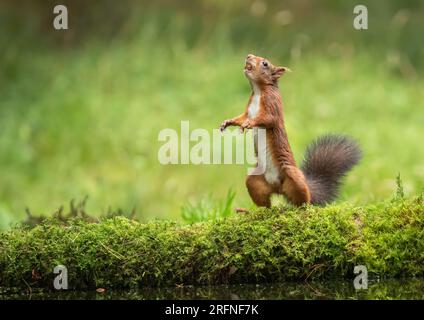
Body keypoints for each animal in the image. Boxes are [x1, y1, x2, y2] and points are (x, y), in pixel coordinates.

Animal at [219, 53, 362, 209]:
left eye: (265, 63)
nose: (249, 55)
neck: (258, 91)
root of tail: (278, 188)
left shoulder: (272, 105)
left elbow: (267, 119)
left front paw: (249, 124)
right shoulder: (248, 110)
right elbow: (241, 117)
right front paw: (228, 122)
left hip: (294, 178)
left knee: (303, 198)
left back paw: (303, 207)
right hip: (254, 181)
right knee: (265, 202)